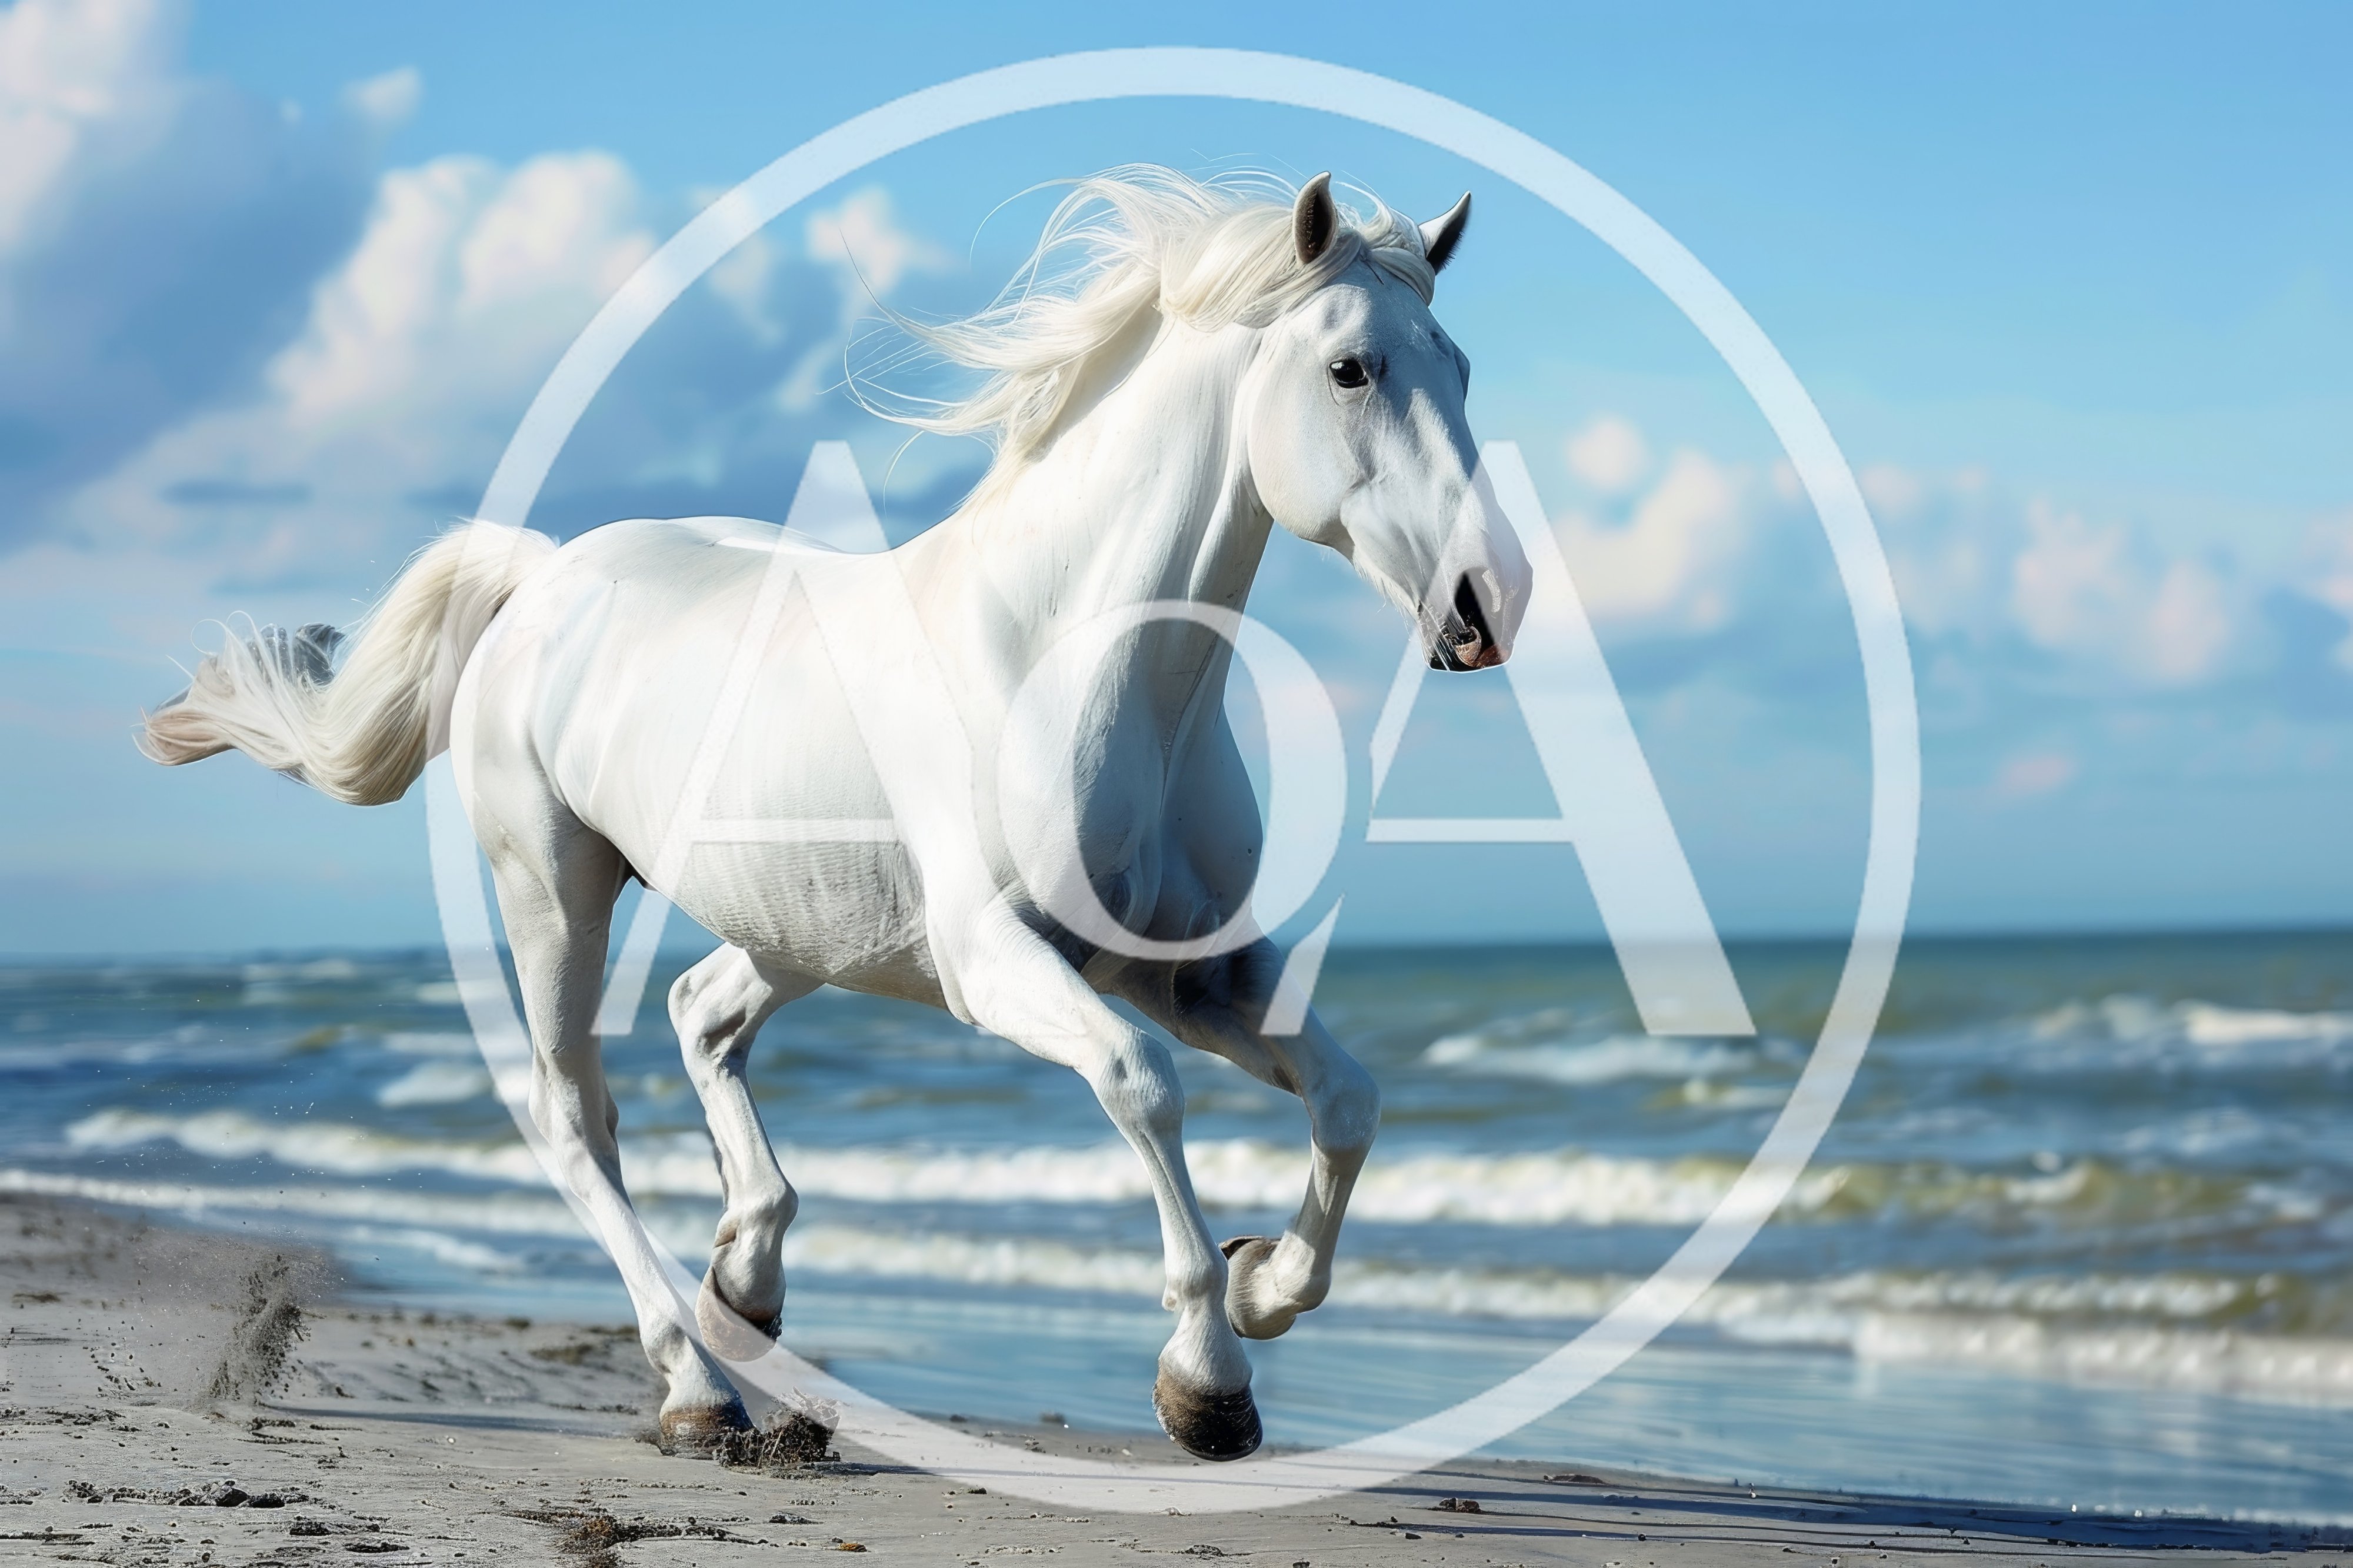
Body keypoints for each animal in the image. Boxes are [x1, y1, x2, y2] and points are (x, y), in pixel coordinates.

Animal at [140, 167, 1533, 1462]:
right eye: (1350, 367)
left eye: (1464, 367)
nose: (1488, 602)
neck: (1076, 657)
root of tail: (543, 573)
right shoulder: (1001, 963)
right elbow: (1142, 1088)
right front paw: (1207, 1380)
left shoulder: (1188, 964)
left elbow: (1348, 1099)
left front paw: (1262, 1286)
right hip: (554, 889)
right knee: (572, 1115)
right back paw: (697, 1387)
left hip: (806, 921)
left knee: (699, 1014)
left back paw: (747, 1279)